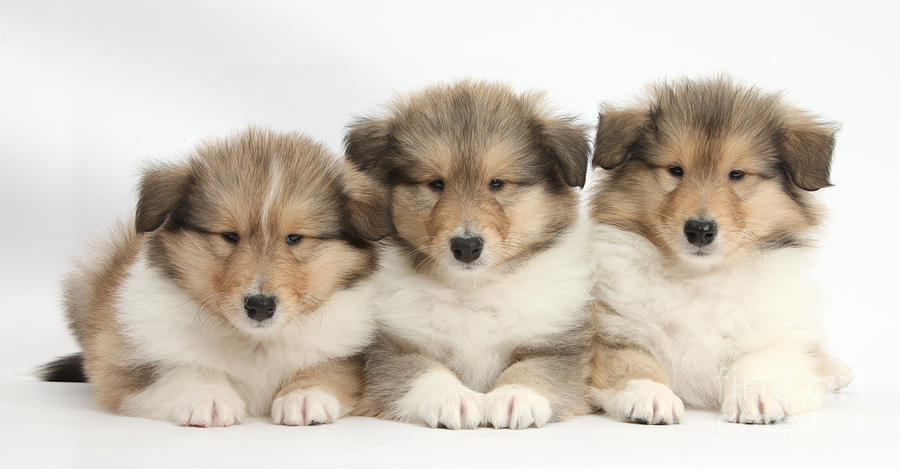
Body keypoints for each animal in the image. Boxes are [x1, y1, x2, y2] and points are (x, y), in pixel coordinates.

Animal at [39, 127, 390, 424]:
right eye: (229, 236)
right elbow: (181, 369)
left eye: (294, 238)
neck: (255, 341)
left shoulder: (348, 353)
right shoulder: (124, 360)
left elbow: (328, 367)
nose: (260, 305)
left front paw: (305, 396)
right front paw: (208, 398)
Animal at [346, 80, 596, 428]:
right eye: (435, 183)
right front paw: (453, 399)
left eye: (498, 183)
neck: (472, 288)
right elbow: (423, 371)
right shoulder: (392, 348)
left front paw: (514, 397)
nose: (466, 246)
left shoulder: (558, 345)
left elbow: (535, 370)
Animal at [588, 77, 856, 424]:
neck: (700, 277)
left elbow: (758, 362)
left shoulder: (775, 338)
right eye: (675, 170)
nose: (700, 230)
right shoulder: (614, 332)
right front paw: (651, 396)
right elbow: (634, 364)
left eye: (737, 174)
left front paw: (756, 396)